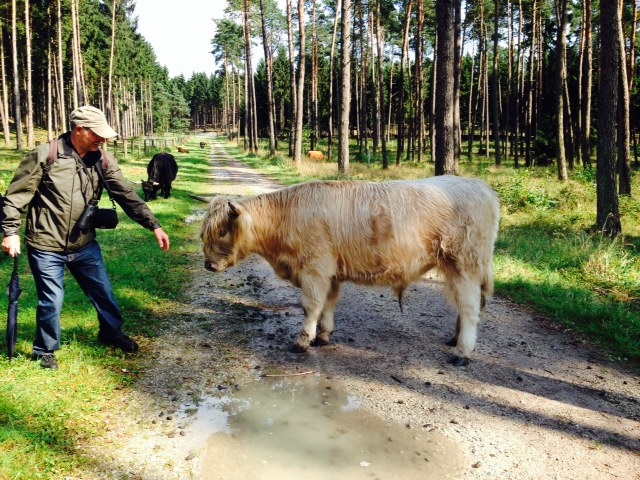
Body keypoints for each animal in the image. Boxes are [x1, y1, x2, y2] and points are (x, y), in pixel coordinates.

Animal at [200, 174, 500, 366]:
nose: (208, 265)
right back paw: (454, 339)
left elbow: (311, 306)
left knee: (470, 307)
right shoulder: (331, 273)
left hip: (465, 264)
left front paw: (302, 341)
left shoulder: (314, 269)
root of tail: (480, 186)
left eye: (223, 231)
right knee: (464, 305)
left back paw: (462, 352)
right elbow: (328, 304)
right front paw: (323, 335)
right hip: (456, 268)